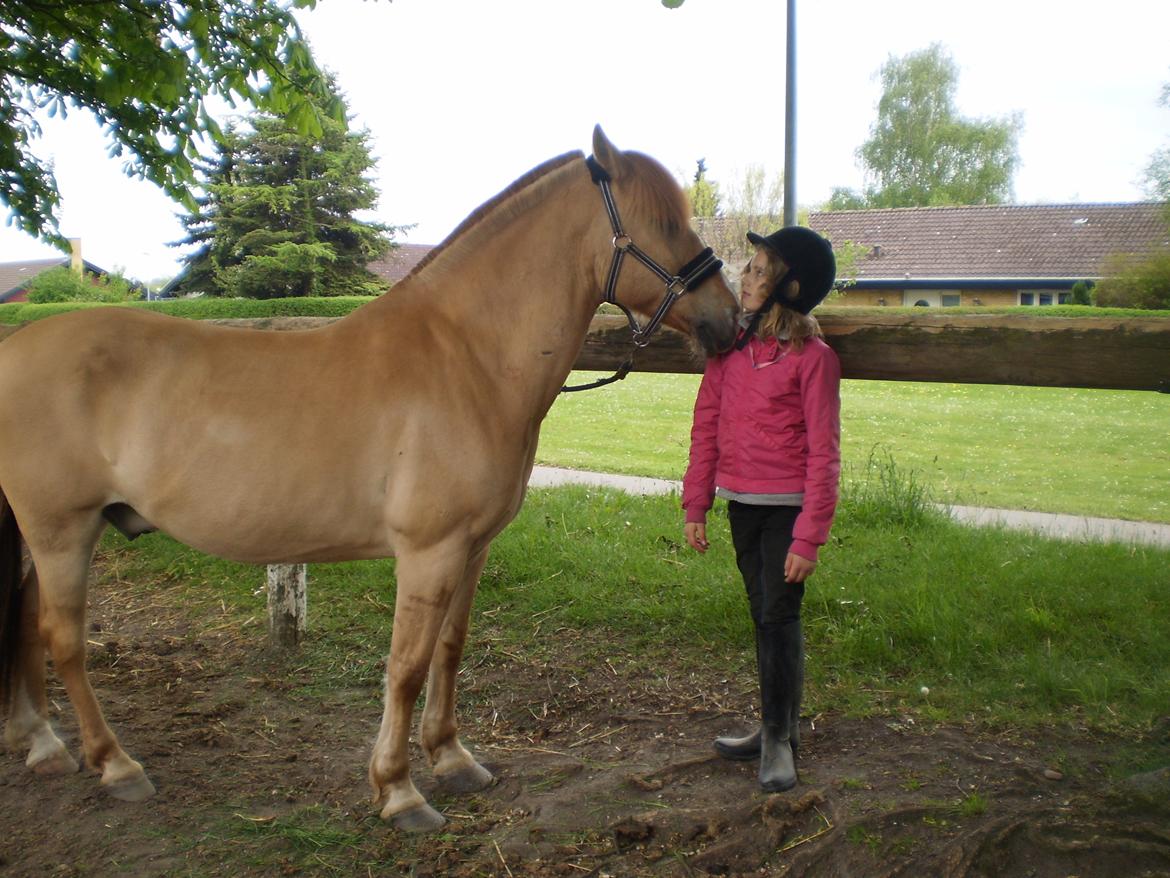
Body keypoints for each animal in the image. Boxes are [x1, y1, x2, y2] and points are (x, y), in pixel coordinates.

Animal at [0, 125, 734, 833]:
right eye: (664, 222)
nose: (731, 318)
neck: (466, 357)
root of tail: (15, 348)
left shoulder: (472, 548)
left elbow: (450, 650)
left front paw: (452, 757)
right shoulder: (429, 551)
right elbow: (406, 668)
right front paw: (399, 790)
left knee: (26, 615)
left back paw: (42, 741)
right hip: (63, 530)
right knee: (62, 638)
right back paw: (115, 764)